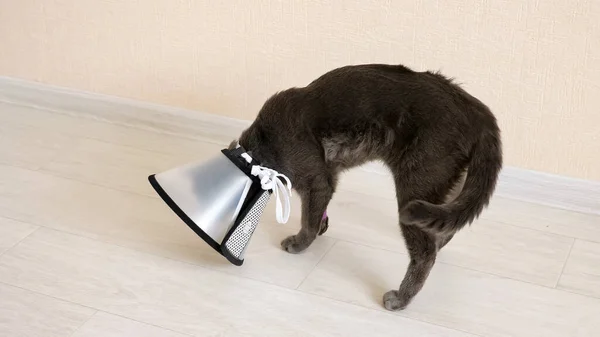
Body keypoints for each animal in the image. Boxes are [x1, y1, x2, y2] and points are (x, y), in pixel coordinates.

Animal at [232, 63, 504, 310]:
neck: (264, 144)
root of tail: (478, 112)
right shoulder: (329, 176)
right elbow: (316, 211)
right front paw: (322, 226)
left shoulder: (315, 181)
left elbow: (307, 220)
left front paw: (299, 243)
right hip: (449, 188)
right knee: (445, 228)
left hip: (417, 185)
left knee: (426, 253)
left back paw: (401, 298)